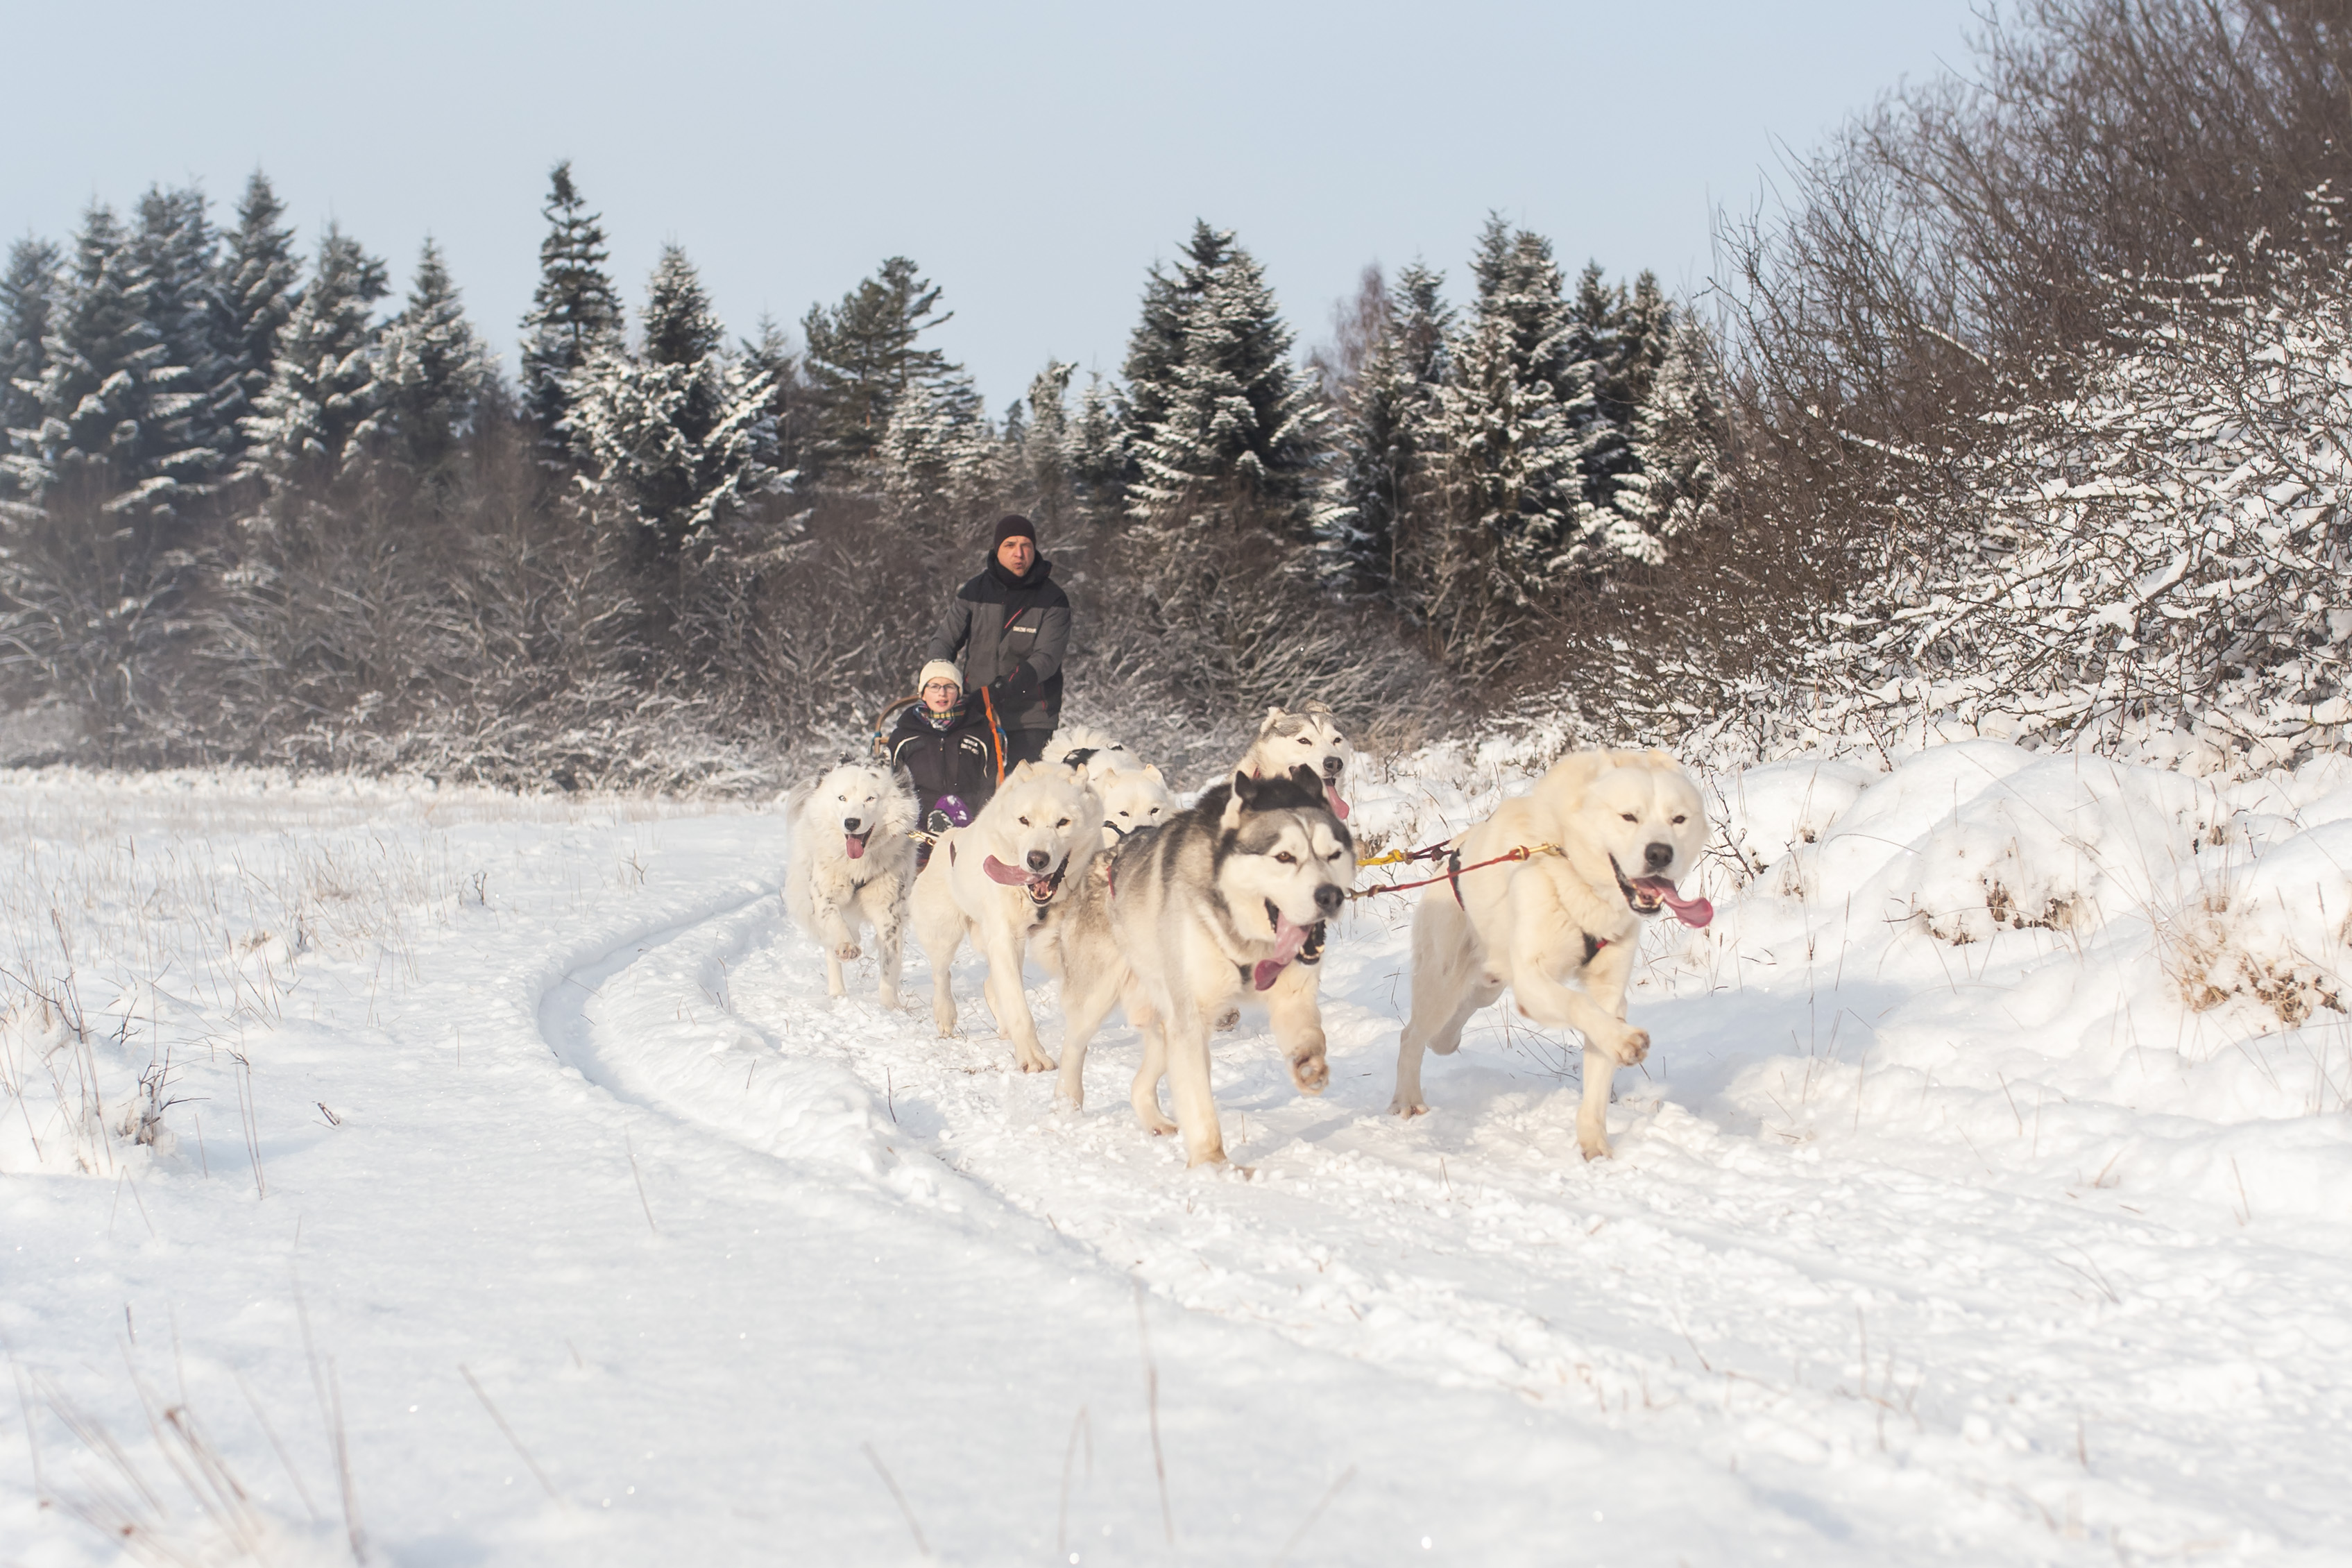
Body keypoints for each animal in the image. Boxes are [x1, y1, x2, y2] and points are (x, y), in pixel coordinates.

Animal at [784, 762, 920, 1007]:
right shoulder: (825, 895)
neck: (858, 867)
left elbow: (890, 962)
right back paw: (838, 993)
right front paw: (847, 947)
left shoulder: (889, 910)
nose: (851, 822)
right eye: (842, 798)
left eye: (870, 798)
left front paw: (890, 1007)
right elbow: (834, 921)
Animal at [911, 760, 1100, 1071]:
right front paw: (1033, 1057)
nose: (1037, 859)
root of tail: (944, 840)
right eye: (1024, 820)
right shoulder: (1005, 938)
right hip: (944, 933)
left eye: (1063, 822)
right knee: (942, 974)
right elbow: (1018, 1006)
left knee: (990, 984)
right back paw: (945, 1014)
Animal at [1045, 764, 1355, 1169]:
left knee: (1141, 1081)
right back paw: (1067, 1105)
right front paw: (1213, 1166)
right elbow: (1200, 1105)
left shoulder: (1293, 996)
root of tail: (1104, 857)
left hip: (1163, 1019)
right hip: (1096, 1000)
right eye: (1285, 856)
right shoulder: (1191, 1020)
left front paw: (1309, 1066)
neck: (1244, 940)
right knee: (1074, 1048)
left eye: (1334, 855)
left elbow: (1309, 1036)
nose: (1330, 896)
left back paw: (1154, 1119)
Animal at [1391, 749, 1712, 1159]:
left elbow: (1598, 1061)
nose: (1660, 853)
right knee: (1412, 1036)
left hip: (1486, 988)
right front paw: (1625, 1041)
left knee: (1445, 1033)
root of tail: (1449, 857)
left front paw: (1595, 1144)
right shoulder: (1532, 983)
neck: (1579, 878)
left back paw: (1446, 1041)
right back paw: (1407, 1100)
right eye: (1629, 816)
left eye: (1678, 819)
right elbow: (1579, 1004)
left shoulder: (1609, 991)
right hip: (1442, 983)